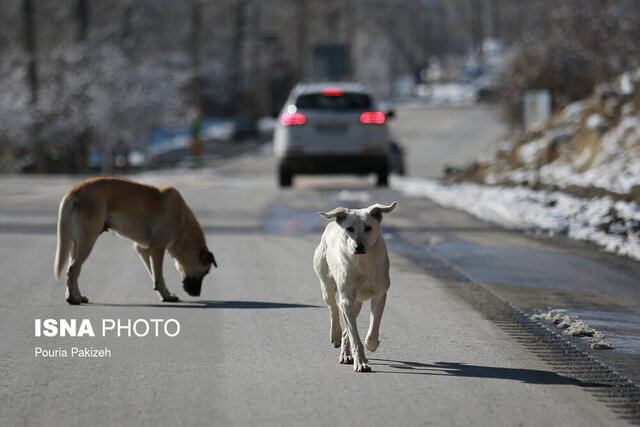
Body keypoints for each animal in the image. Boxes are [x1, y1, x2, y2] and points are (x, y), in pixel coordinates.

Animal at [53, 177, 218, 304]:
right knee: (73, 269)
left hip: (76, 244)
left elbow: (155, 275)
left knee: (74, 270)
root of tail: (73, 191)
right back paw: (72, 299)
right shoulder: (157, 248)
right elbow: (158, 275)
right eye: (205, 273)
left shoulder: (144, 250)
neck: (183, 224)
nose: (196, 294)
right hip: (88, 240)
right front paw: (166, 296)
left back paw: (77, 296)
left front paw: (164, 294)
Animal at [314, 201, 398, 372]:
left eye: (368, 227)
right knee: (333, 307)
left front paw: (371, 344)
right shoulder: (347, 299)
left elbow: (373, 326)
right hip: (327, 283)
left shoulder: (380, 295)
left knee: (347, 326)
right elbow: (354, 335)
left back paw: (345, 353)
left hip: (357, 302)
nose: (358, 247)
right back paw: (336, 335)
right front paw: (361, 361)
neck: (364, 262)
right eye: (350, 228)